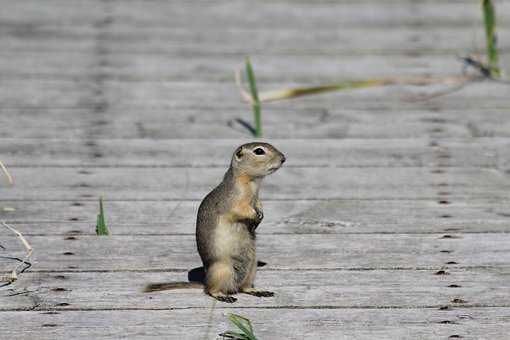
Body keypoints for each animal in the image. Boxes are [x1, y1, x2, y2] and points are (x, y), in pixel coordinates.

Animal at [145, 141, 284, 302]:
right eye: (259, 151)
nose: (283, 158)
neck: (252, 183)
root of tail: (205, 281)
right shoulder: (233, 201)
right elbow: (240, 210)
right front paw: (255, 215)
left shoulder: (256, 198)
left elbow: (259, 204)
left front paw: (261, 214)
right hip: (222, 269)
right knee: (211, 290)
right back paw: (223, 296)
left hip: (252, 268)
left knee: (244, 287)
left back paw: (259, 291)